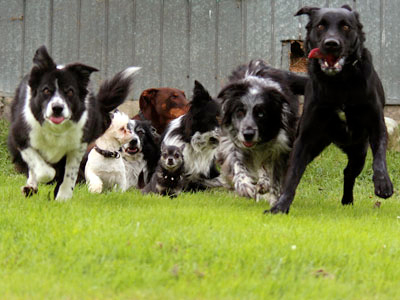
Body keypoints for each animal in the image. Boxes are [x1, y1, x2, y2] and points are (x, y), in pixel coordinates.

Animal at [268, 5, 392, 214]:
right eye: (320, 26)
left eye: (346, 26)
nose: (331, 44)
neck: (339, 83)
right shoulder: (305, 138)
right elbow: (292, 176)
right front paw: (280, 206)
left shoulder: (377, 125)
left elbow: (380, 158)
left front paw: (383, 184)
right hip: (316, 144)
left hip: (359, 152)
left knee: (349, 172)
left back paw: (347, 201)